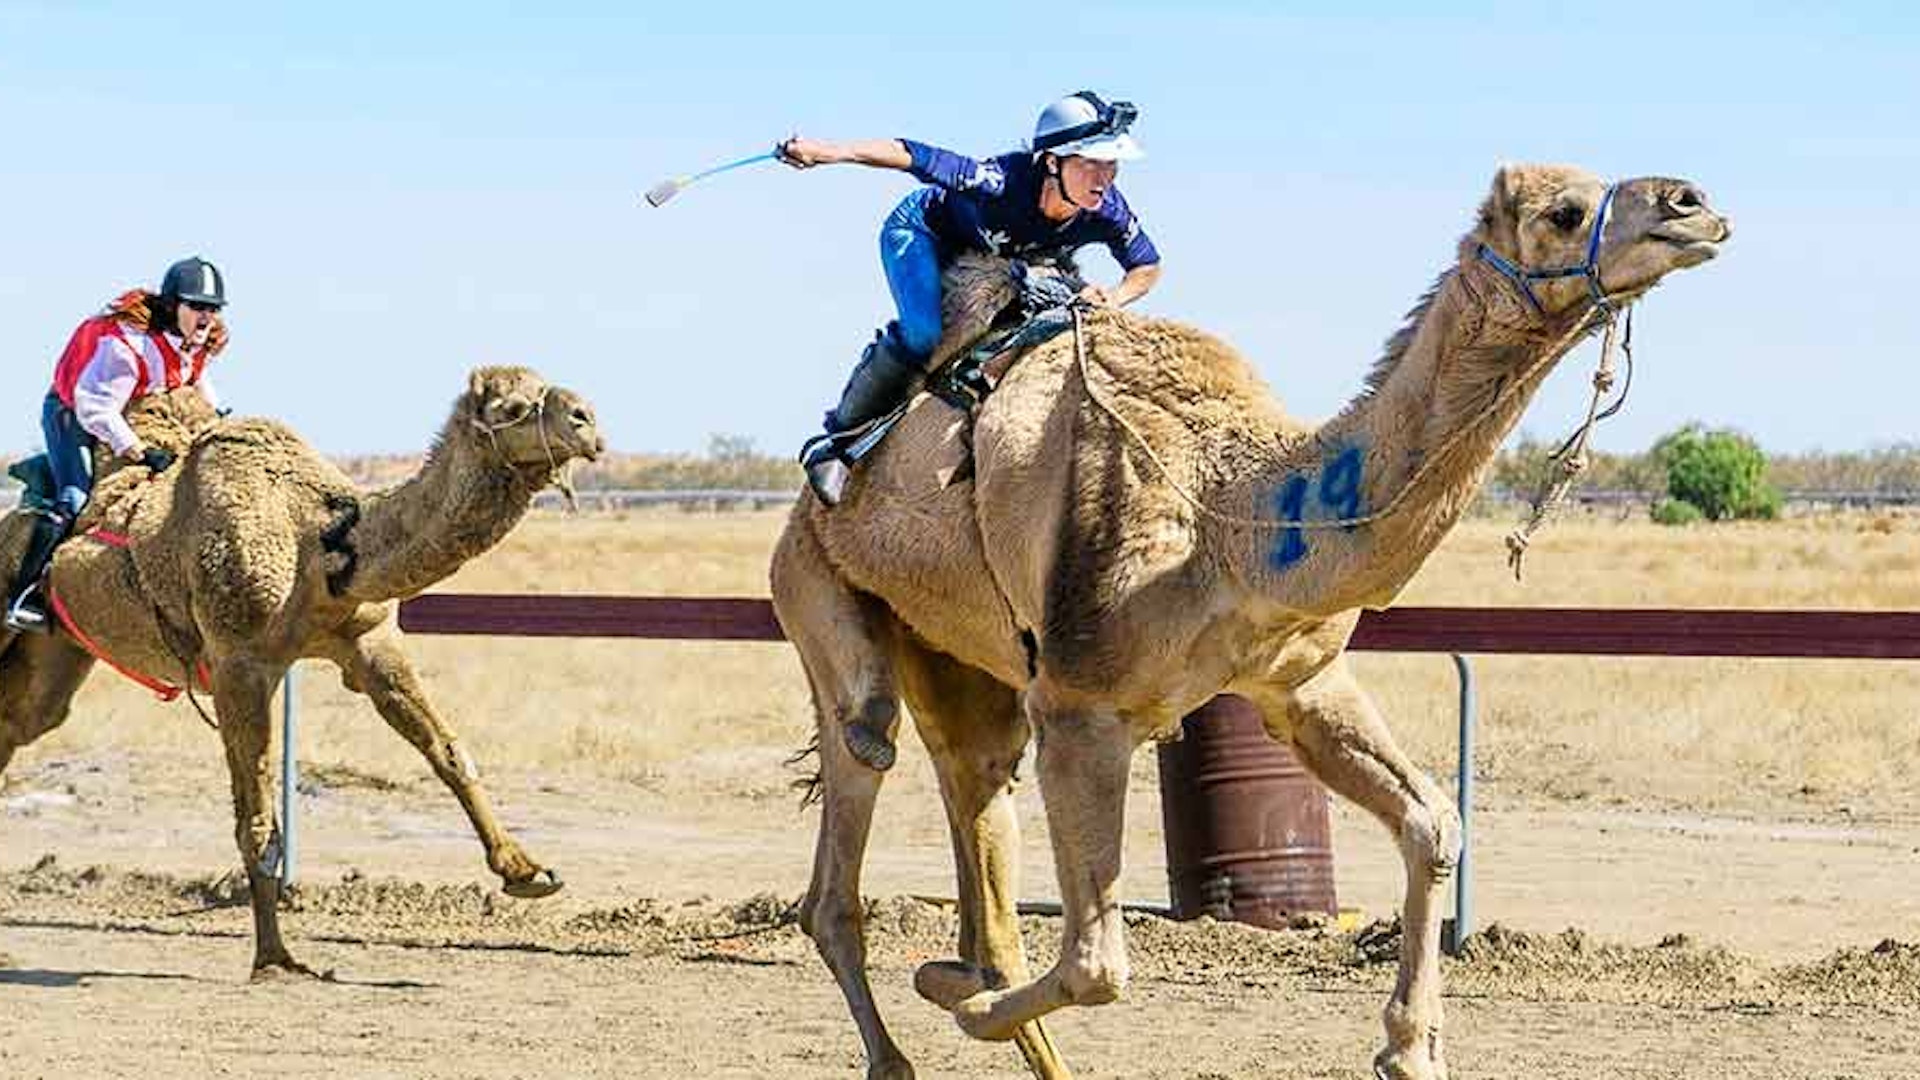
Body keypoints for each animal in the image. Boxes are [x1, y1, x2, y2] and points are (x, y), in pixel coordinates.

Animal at [0, 363, 599, 976]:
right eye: (511, 409)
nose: (588, 422)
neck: (316, 543)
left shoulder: (368, 642)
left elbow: (448, 750)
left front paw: (527, 872)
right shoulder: (239, 663)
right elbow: (258, 817)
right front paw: (275, 958)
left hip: (61, 647)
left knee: (22, 720)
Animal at [771, 161, 1735, 1076]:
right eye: (1562, 213)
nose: (1694, 204)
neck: (1233, 513)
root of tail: (801, 516)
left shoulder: (1298, 682)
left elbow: (1433, 825)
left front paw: (1411, 1050)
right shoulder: (1081, 709)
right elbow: (1096, 962)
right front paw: (962, 1004)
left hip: (962, 665)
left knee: (978, 816)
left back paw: (967, 982)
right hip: (818, 596)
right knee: (854, 805)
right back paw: (910, 1036)